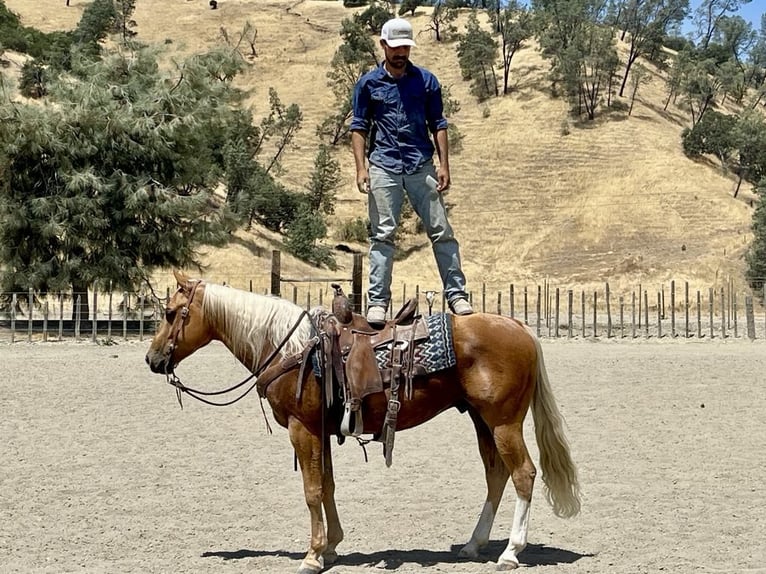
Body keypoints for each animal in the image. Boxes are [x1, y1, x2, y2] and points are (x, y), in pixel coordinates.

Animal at [146, 274, 584, 574]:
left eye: (169, 314)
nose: (152, 359)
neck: (288, 347)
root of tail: (520, 327)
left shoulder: (302, 429)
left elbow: (311, 491)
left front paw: (312, 555)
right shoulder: (320, 431)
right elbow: (327, 486)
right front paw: (331, 546)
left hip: (504, 421)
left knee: (523, 473)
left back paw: (510, 552)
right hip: (482, 420)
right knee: (497, 474)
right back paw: (474, 545)